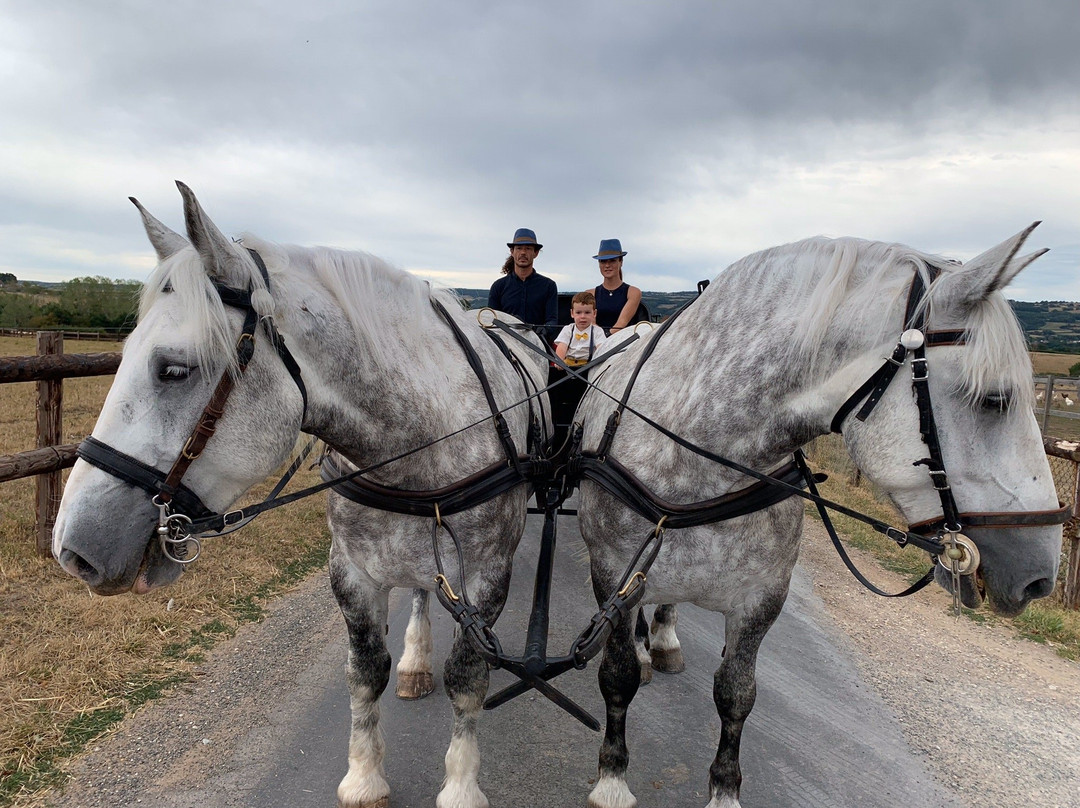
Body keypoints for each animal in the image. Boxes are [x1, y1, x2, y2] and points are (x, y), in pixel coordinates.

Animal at [578, 225, 1058, 808]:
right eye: (994, 400)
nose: (1039, 578)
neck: (696, 457)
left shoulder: (761, 599)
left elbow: (736, 694)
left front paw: (724, 791)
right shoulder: (612, 576)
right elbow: (618, 675)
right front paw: (611, 779)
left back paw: (664, 640)